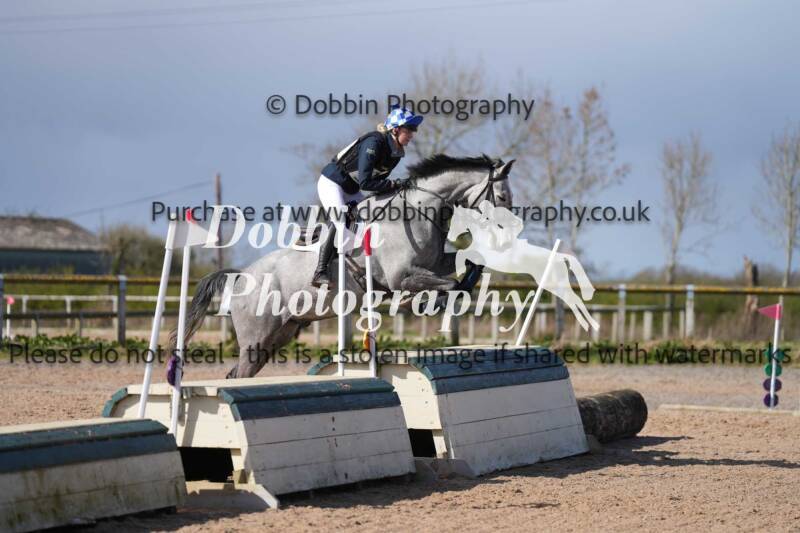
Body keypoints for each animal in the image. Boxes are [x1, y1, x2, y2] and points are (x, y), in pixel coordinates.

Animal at [174, 155, 515, 378]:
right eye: (501, 197)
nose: (508, 236)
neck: (418, 212)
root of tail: (241, 276)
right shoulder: (402, 277)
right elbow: (449, 284)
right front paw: (421, 302)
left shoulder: (433, 264)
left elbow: (467, 266)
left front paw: (461, 285)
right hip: (256, 338)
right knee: (239, 374)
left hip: (280, 334)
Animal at [447, 201, 600, 332]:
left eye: (455, 221)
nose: (450, 238)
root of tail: (559, 256)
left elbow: (465, 256)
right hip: (555, 284)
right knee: (574, 299)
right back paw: (590, 324)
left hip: (552, 283)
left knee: (574, 299)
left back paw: (589, 324)